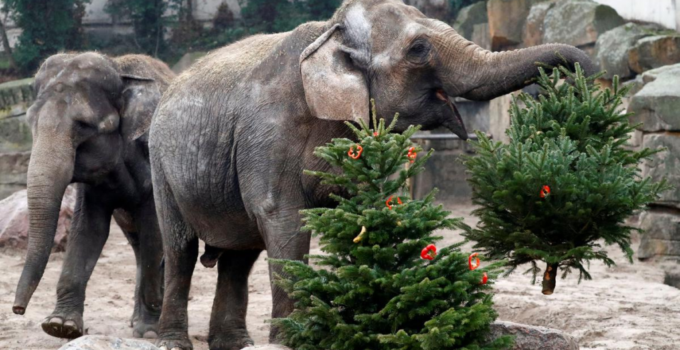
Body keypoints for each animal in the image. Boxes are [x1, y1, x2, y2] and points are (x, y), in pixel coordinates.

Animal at [11, 51, 175, 340]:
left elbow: (154, 229)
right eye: (30, 121)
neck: (120, 69)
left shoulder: (151, 158)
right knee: (137, 244)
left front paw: (149, 333)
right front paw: (60, 326)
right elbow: (89, 229)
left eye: (84, 126)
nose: (17, 310)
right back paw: (135, 320)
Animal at [149, 1, 596, 348]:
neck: (330, 33)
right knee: (181, 247)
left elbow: (366, 210)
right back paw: (172, 341)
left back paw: (234, 344)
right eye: (419, 49)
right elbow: (283, 219)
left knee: (239, 255)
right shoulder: (267, 132)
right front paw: (295, 339)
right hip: (159, 161)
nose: (576, 86)